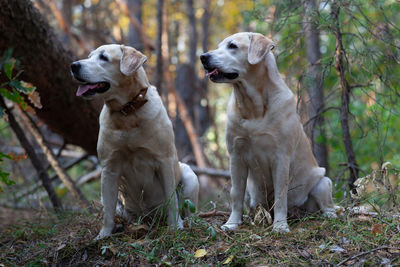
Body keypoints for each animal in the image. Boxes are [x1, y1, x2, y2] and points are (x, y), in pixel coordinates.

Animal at [71, 44, 199, 241]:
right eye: (89, 56)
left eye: (103, 57)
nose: (73, 65)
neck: (128, 113)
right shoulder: (109, 168)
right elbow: (107, 212)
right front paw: (103, 235)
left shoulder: (165, 161)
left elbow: (172, 200)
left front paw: (176, 227)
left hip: (190, 176)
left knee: (189, 208)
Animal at [200, 33, 338, 234]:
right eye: (218, 46)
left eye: (232, 46)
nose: (203, 57)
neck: (252, 108)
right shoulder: (236, 156)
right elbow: (235, 194)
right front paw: (232, 223)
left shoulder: (281, 157)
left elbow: (281, 197)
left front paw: (280, 225)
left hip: (323, 182)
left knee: (326, 203)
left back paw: (329, 214)